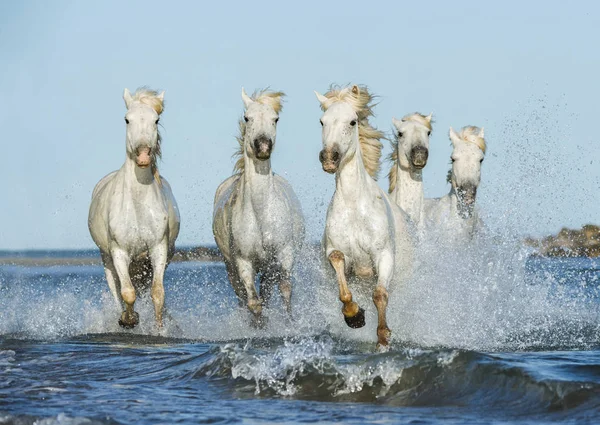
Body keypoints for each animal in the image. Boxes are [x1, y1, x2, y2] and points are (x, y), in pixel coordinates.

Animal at [88, 87, 179, 328]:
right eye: (127, 119)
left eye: (156, 120)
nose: (144, 155)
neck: (137, 207)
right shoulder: (119, 252)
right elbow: (127, 293)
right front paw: (128, 320)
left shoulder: (158, 250)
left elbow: (158, 293)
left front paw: (159, 329)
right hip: (107, 259)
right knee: (117, 290)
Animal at [314, 83, 418, 348]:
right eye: (322, 121)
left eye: (352, 122)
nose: (329, 158)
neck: (353, 206)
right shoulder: (336, 253)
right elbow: (340, 272)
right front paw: (354, 316)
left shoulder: (383, 256)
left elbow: (380, 295)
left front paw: (383, 337)